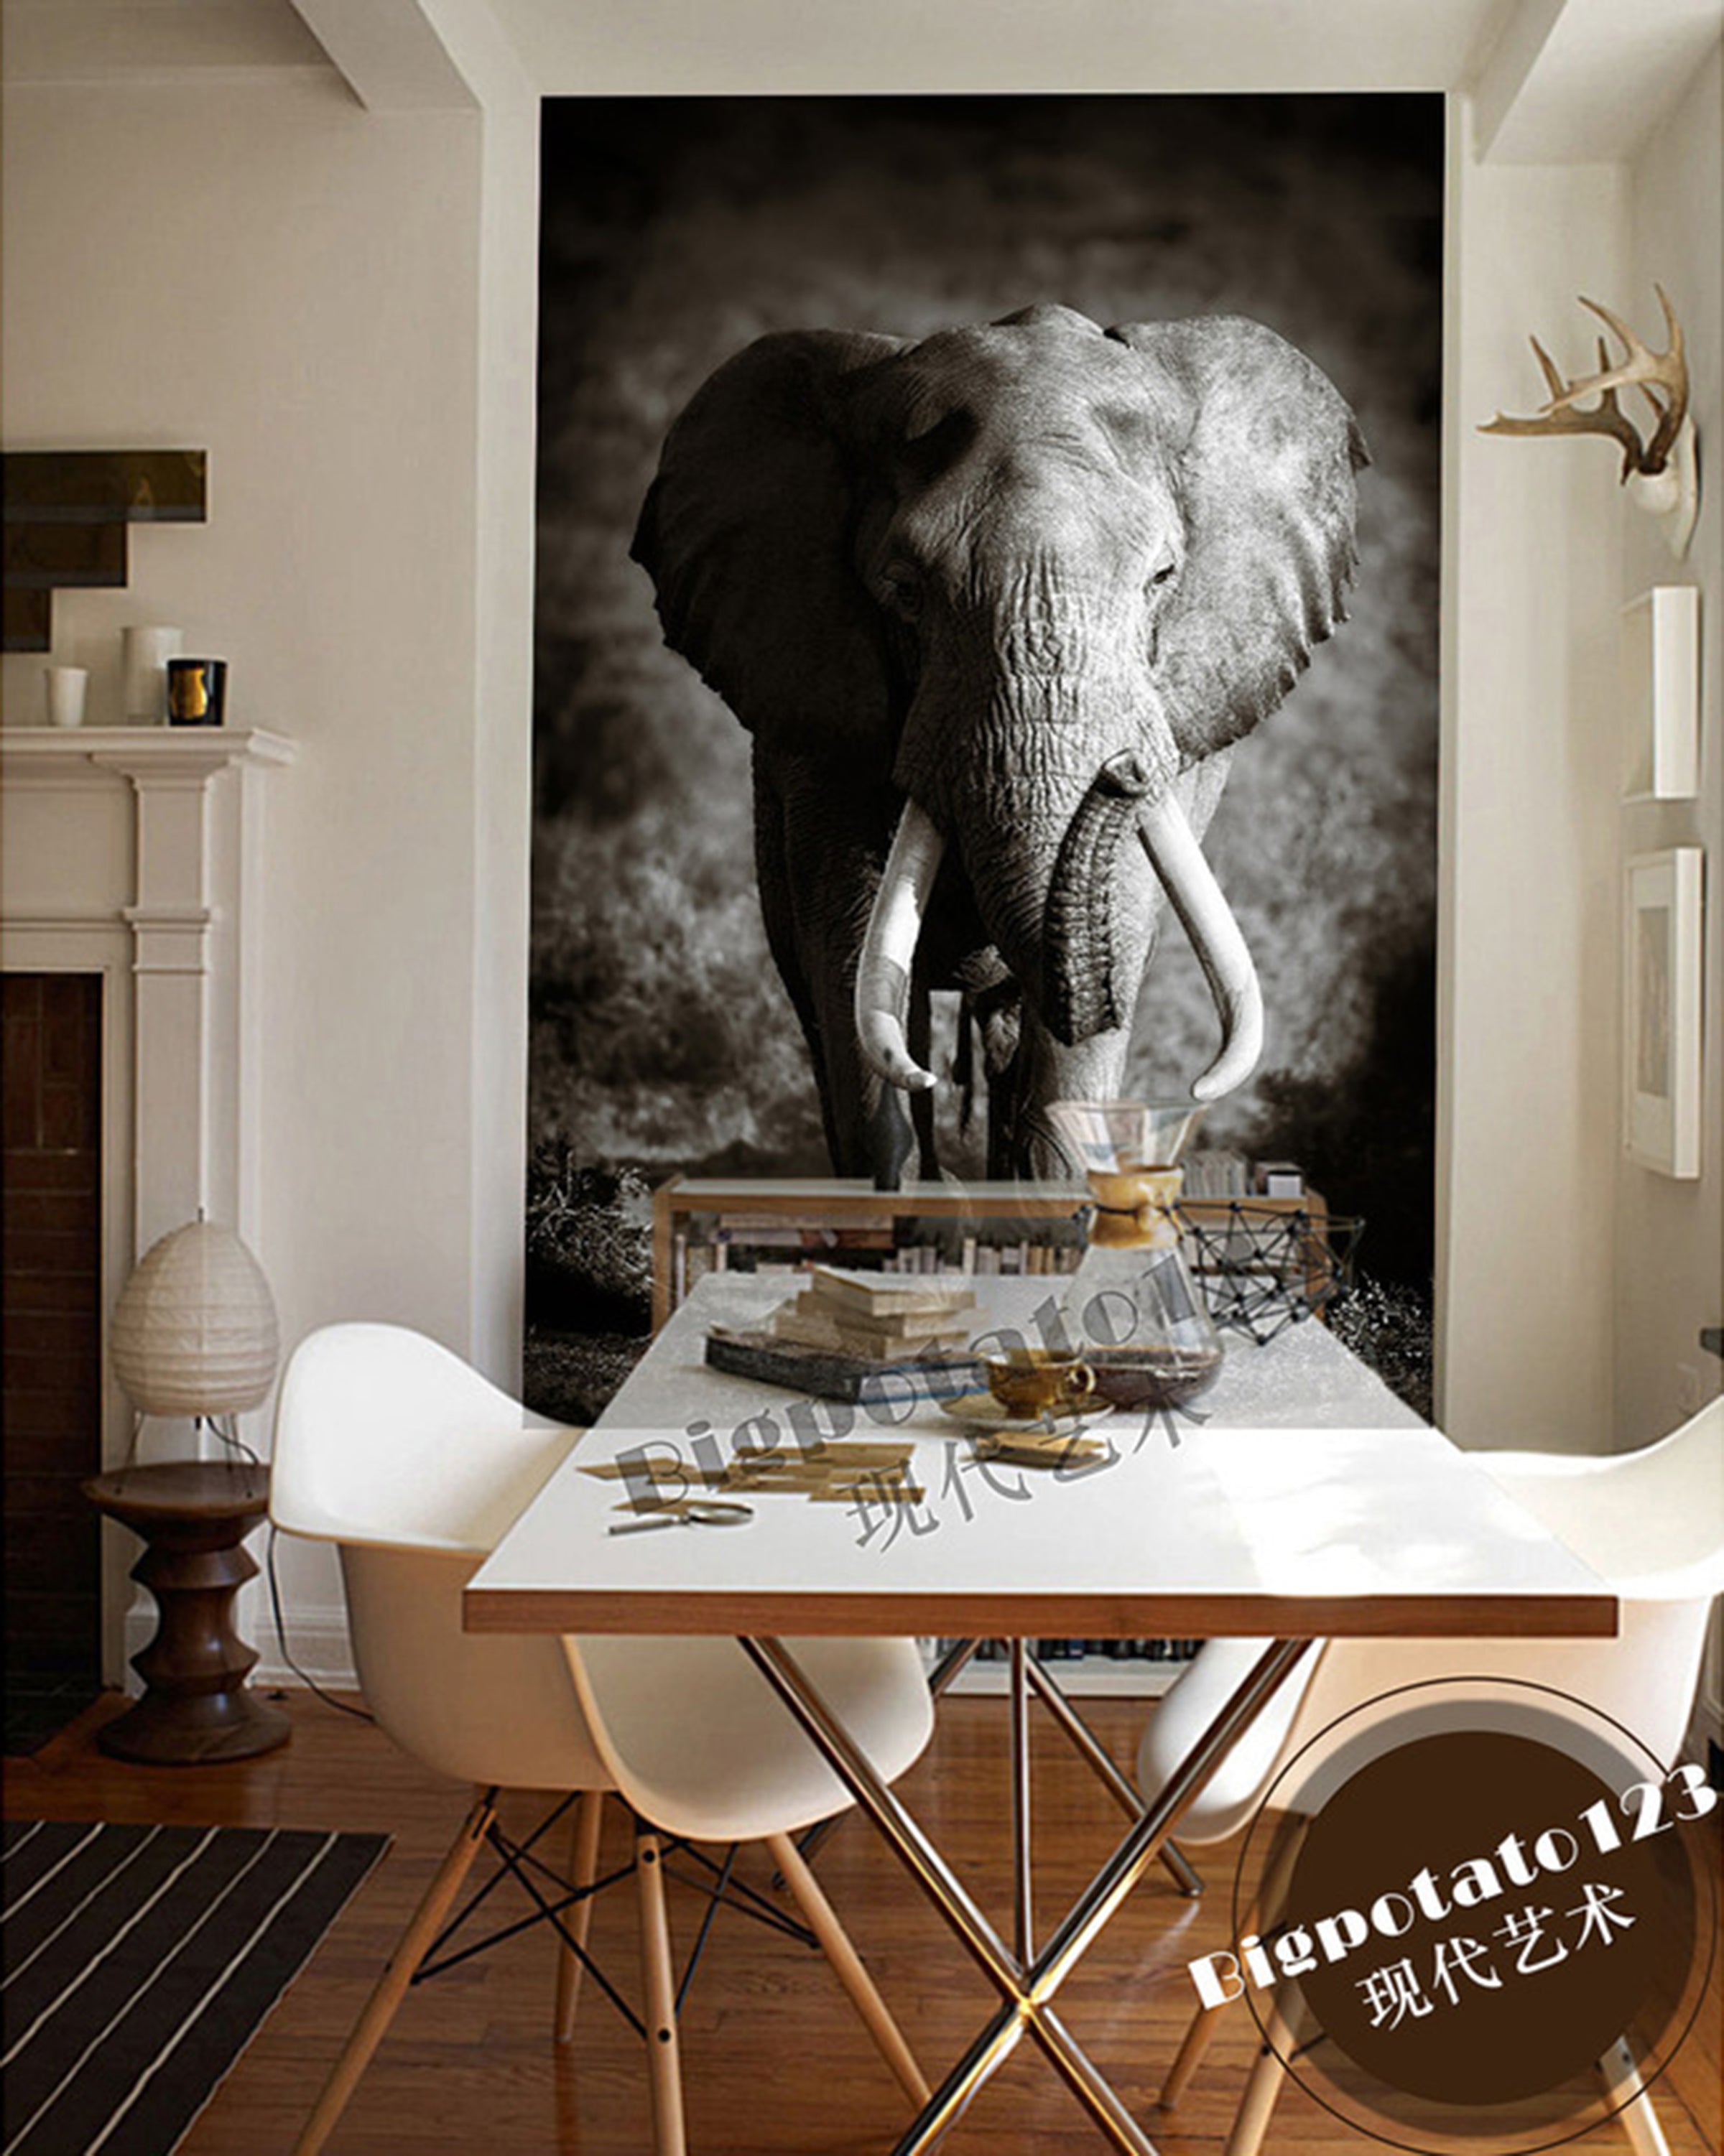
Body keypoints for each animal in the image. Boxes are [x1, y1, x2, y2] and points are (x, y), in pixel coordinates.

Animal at [631, 303, 1366, 1185]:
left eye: (1161, 579)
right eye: (904, 591)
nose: (1122, 773)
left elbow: (1115, 928)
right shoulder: (817, 720)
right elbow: (852, 952)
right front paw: (903, 1207)